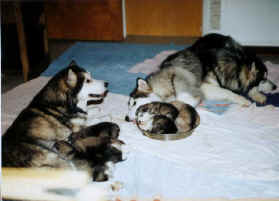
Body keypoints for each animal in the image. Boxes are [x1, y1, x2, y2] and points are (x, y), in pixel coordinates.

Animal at [127, 33, 278, 121]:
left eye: (133, 103)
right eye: (129, 105)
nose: (126, 118)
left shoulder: (201, 88)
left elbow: (228, 92)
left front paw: (244, 99)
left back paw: (258, 94)